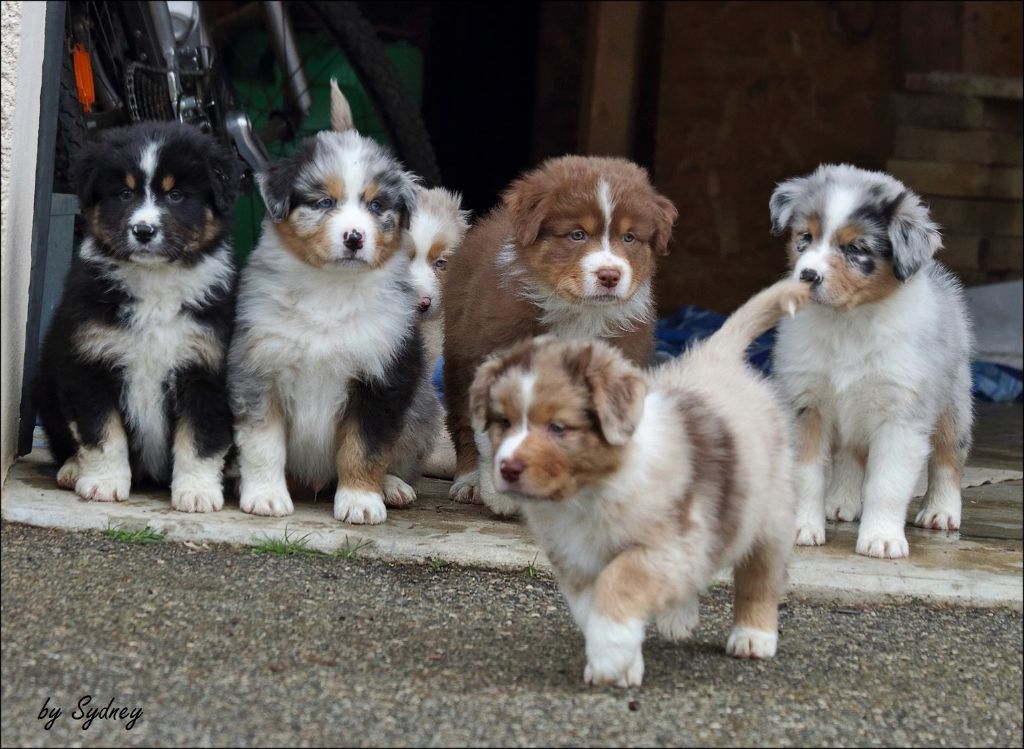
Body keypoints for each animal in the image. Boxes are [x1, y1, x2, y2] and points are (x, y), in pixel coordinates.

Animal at [37, 119, 240, 512]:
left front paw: (196, 492)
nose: (143, 230)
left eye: (175, 196)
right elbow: (102, 432)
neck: (155, 282)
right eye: (124, 194)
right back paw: (72, 469)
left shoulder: (207, 368)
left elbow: (200, 440)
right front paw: (103, 483)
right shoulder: (91, 363)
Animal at [228, 129, 440, 524]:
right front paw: (265, 497)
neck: (330, 289)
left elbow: (365, 447)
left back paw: (393, 487)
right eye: (324, 202)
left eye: (376, 206)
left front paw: (360, 501)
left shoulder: (382, 379)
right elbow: (263, 444)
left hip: (421, 407)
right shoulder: (259, 369)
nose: (354, 238)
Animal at [442, 155, 675, 512]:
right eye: (577, 234)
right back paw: (469, 482)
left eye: (629, 238)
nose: (610, 275)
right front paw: (501, 495)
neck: (577, 313)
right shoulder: (495, 345)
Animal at [468, 280, 811, 684]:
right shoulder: (575, 560)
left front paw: (609, 657)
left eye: (558, 428)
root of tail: (715, 357)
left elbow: (620, 583)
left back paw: (753, 637)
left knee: (761, 577)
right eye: (504, 422)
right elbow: (592, 608)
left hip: (771, 515)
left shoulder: (662, 545)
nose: (507, 468)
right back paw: (679, 616)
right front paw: (623, 663)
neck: (590, 493)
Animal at [770, 165, 974, 561]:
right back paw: (840, 503)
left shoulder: (902, 413)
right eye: (805, 237)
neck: (849, 322)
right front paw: (802, 528)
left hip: (952, 402)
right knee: (851, 454)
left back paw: (940, 511)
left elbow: (887, 484)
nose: (806, 275)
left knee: (948, 455)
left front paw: (881, 538)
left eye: (855, 249)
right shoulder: (805, 404)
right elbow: (805, 474)